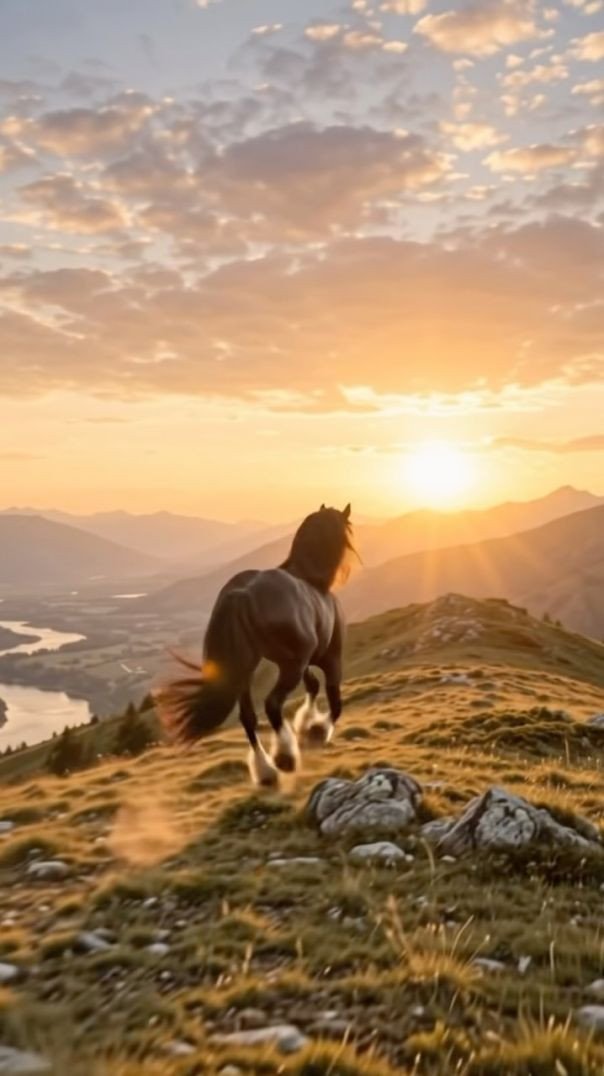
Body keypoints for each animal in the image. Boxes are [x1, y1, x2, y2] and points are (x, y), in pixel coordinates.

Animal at [158, 504, 354, 787]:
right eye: (348, 531)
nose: (347, 569)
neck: (312, 579)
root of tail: (241, 594)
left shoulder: (304, 661)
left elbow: (313, 686)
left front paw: (306, 726)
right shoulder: (328, 658)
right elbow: (335, 702)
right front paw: (316, 731)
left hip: (246, 668)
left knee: (248, 718)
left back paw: (265, 771)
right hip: (288, 667)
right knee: (272, 705)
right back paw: (284, 757)